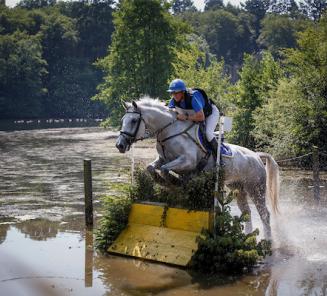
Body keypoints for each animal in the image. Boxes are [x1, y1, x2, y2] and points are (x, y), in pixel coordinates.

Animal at [116, 97, 280, 238]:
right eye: (122, 120)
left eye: (134, 120)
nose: (120, 145)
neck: (169, 131)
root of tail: (256, 156)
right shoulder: (162, 159)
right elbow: (151, 167)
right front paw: (164, 181)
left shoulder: (187, 161)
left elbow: (165, 169)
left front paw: (174, 182)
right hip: (238, 188)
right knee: (246, 212)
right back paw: (248, 236)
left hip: (256, 188)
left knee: (264, 214)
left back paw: (267, 240)